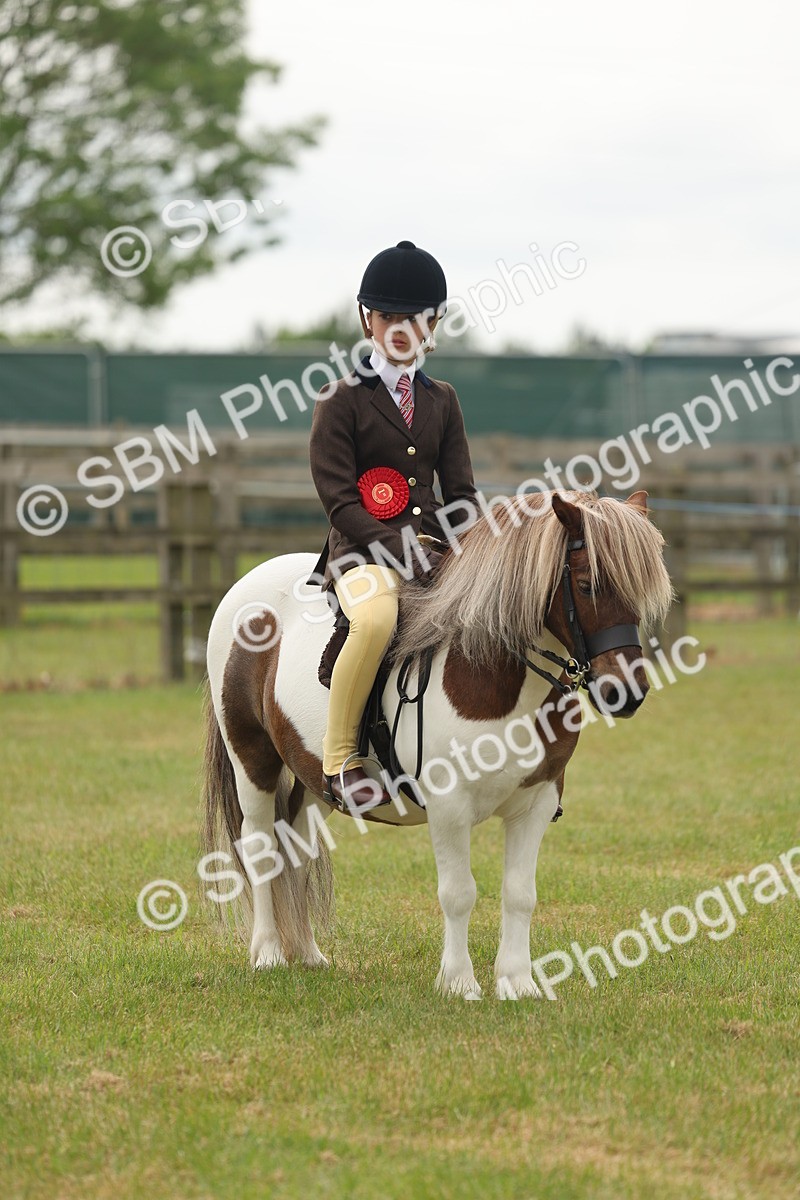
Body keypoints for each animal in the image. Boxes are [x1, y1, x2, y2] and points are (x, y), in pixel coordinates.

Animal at [201, 488, 672, 1000]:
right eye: (587, 585)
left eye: (641, 591)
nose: (626, 693)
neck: (494, 676)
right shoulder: (450, 806)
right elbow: (458, 893)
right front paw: (459, 983)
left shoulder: (537, 801)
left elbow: (520, 894)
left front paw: (518, 983)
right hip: (252, 758)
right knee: (260, 847)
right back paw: (268, 953)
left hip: (314, 779)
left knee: (298, 848)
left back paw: (308, 955)